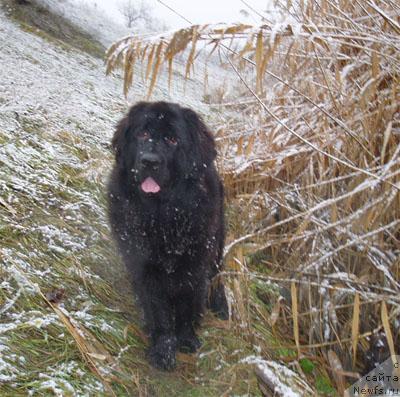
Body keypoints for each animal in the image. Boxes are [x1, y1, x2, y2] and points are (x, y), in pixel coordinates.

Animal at [108, 100, 228, 370]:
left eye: (173, 140)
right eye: (142, 134)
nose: (149, 161)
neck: (163, 216)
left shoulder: (194, 264)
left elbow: (188, 304)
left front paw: (187, 338)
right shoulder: (144, 266)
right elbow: (158, 309)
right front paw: (163, 349)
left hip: (217, 239)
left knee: (217, 273)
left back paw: (221, 304)